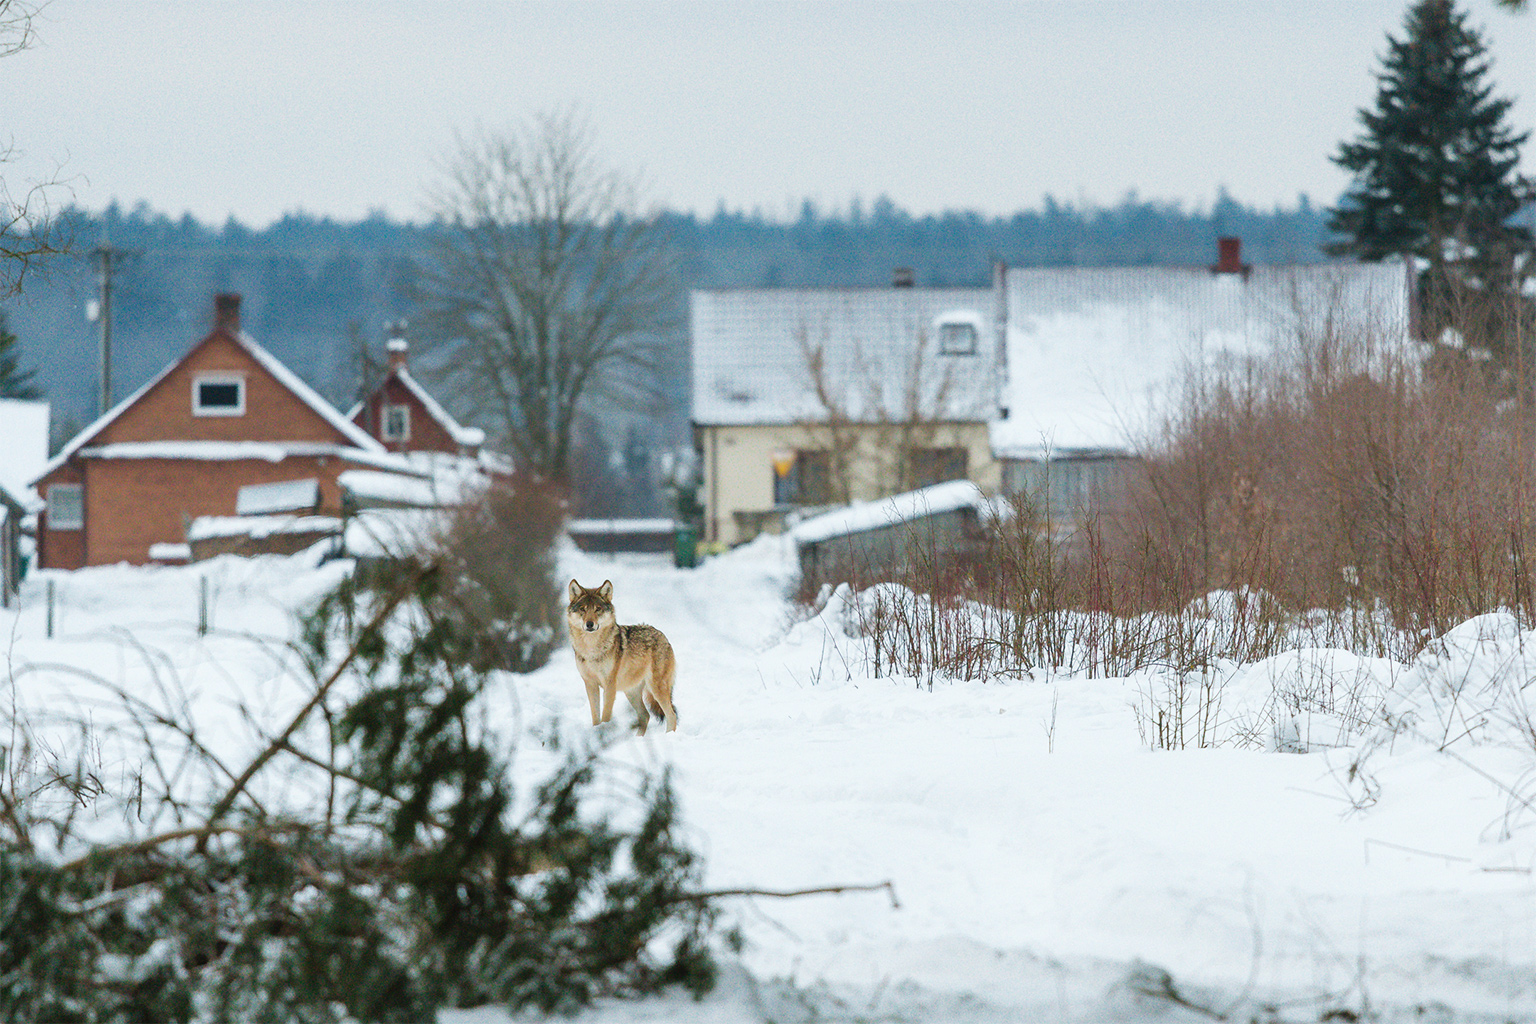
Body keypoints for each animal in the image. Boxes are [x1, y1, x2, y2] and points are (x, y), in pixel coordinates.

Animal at [566, 579, 678, 734]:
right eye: (583, 609)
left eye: (597, 609)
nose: (589, 624)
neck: (591, 649)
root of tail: (663, 636)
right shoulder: (590, 684)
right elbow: (595, 717)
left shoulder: (609, 685)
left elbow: (605, 715)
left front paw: (604, 732)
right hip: (631, 692)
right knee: (645, 715)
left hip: (656, 688)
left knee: (671, 715)